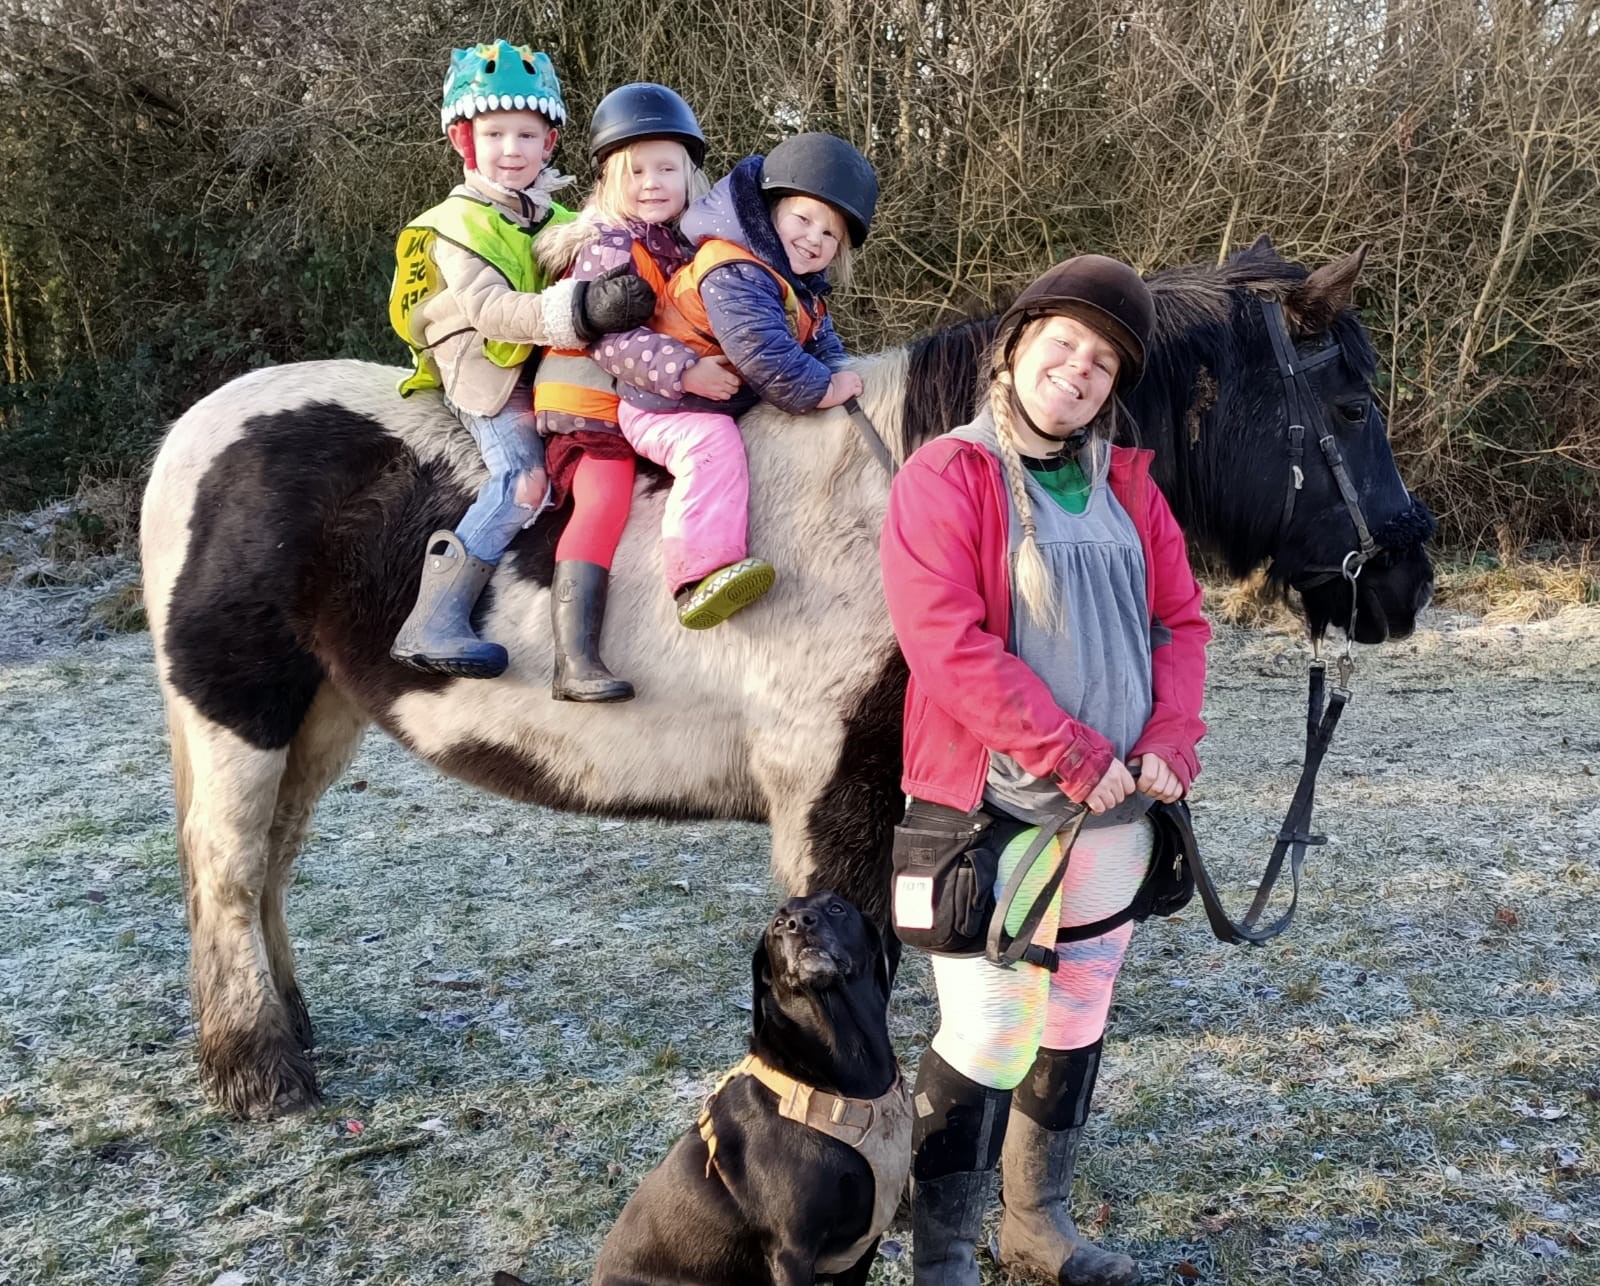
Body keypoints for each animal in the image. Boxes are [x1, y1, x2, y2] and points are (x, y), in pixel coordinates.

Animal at [140, 238, 1440, 1113]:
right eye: (1348, 404)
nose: (1407, 579)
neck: (892, 503)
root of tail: (198, 430)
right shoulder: (829, 797)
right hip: (240, 708)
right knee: (228, 868)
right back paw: (261, 1071)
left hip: (322, 713)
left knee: (265, 868)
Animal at [492, 895, 908, 1286]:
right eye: (777, 924)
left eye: (836, 908)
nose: (799, 924)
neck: (847, 1078)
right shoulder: (793, 1252)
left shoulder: (863, 1247)